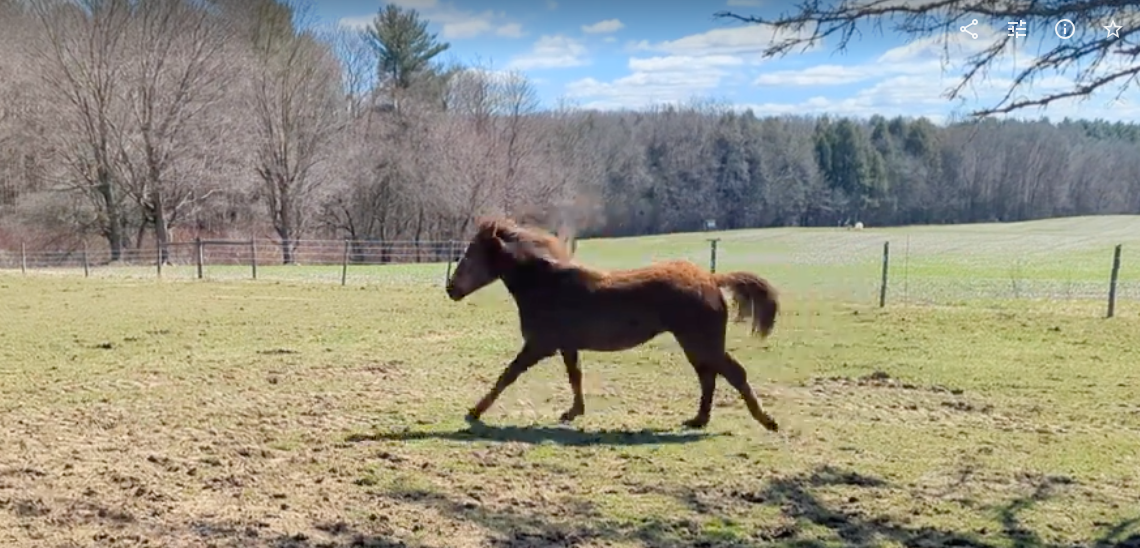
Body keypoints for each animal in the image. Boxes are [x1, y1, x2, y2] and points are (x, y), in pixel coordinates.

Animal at [445, 217, 781, 433]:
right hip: (695, 344)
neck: (546, 284)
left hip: (701, 341)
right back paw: (699, 420)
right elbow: (575, 376)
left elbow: (508, 375)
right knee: (708, 376)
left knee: (731, 373)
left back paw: (766, 421)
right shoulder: (566, 345)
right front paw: (573, 412)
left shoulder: (539, 345)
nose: (451, 289)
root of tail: (712, 279)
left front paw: (475, 411)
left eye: (472, 254)